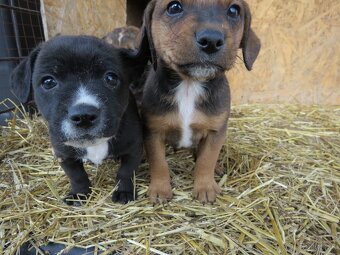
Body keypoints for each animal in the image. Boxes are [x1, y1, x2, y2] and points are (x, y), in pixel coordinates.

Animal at [10, 34, 146, 204]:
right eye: (48, 82)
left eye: (111, 78)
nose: (84, 116)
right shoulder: (64, 154)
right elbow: (77, 176)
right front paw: (79, 194)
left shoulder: (133, 148)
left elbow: (126, 172)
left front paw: (124, 192)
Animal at [138, 0, 260, 203]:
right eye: (174, 7)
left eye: (234, 10)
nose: (211, 40)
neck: (189, 85)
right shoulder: (153, 131)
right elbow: (159, 163)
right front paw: (160, 189)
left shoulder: (215, 132)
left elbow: (206, 160)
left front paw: (205, 187)